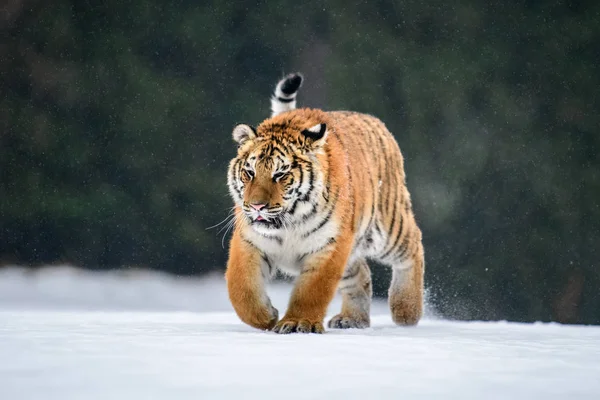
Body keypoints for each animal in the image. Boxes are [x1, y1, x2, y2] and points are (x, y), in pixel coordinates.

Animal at [226, 72, 426, 334]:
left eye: (280, 174)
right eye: (249, 172)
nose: (257, 206)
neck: (288, 223)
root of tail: (374, 120)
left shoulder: (329, 246)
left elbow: (312, 290)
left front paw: (297, 322)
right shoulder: (250, 241)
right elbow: (242, 289)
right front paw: (267, 317)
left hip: (387, 227)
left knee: (413, 244)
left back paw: (406, 310)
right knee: (361, 272)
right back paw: (353, 319)